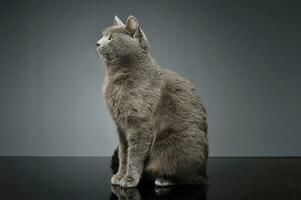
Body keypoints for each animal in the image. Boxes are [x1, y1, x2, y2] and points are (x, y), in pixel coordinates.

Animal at [96, 15, 206, 188]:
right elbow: (123, 154)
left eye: (111, 38)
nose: (97, 43)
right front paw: (119, 176)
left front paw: (129, 179)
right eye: (103, 36)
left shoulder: (139, 124)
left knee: (190, 178)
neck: (116, 77)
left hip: (176, 145)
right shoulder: (120, 127)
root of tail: (204, 171)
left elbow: (134, 156)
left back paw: (165, 179)